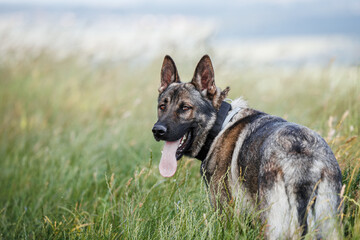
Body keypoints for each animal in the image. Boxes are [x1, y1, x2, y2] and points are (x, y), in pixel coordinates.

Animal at [152, 55, 344, 239]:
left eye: (185, 108)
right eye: (162, 106)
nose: (157, 131)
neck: (218, 125)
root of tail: (301, 163)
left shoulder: (227, 219)